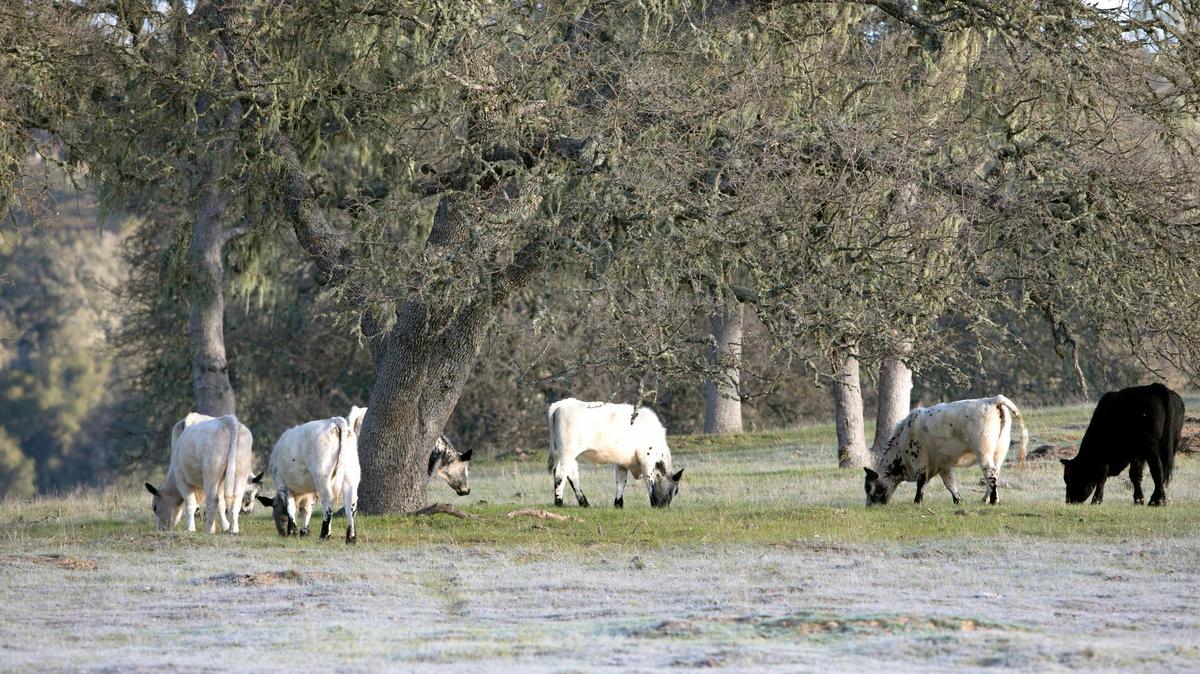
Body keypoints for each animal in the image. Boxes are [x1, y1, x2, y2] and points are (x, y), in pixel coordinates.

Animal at [256, 406, 364, 543]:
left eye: (274, 511)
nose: (282, 533)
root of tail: (334, 421)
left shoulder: (283, 485)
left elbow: (291, 508)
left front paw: (293, 531)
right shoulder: (309, 492)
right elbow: (306, 510)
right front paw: (304, 532)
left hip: (323, 477)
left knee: (328, 504)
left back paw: (325, 534)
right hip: (351, 476)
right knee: (351, 505)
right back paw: (351, 537)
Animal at [547, 398, 684, 508]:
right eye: (674, 491)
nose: (663, 507)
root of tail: (561, 404)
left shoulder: (622, 462)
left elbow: (621, 482)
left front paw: (618, 504)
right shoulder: (647, 460)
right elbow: (649, 481)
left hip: (566, 454)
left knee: (572, 475)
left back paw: (584, 503)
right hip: (567, 452)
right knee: (560, 473)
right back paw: (559, 502)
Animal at [864, 396, 1028, 507]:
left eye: (868, 487)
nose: (870, 507)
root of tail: (992, 400)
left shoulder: (919, 458)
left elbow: (921, 481)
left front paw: (917, 502)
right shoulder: (944, 464)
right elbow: (950, 483)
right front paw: (958, 500)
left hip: (984, 452)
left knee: (990, 473)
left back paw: (993, 500)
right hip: (999, 452)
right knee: (995, 473)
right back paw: (986, 499)